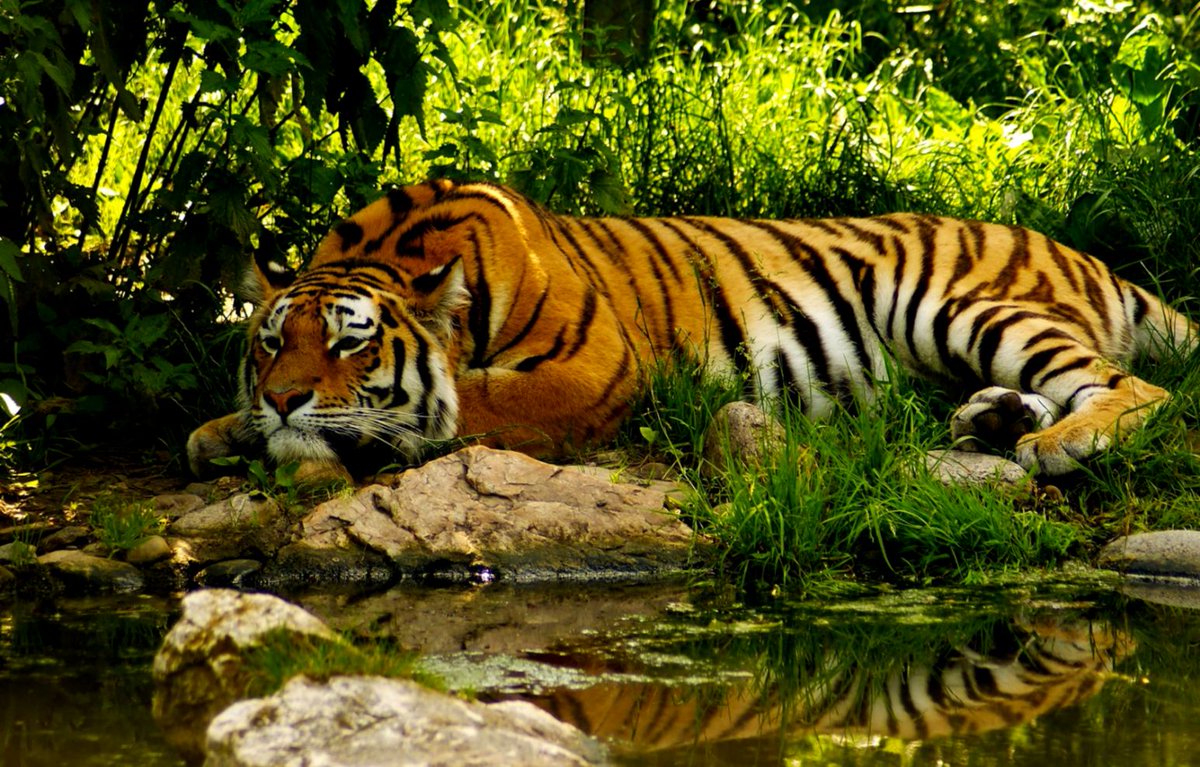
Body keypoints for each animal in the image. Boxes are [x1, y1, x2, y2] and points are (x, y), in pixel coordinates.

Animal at [187, 179, 1195, 480]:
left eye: (351, 342)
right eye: (271, 341)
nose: (284, 400)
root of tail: (1081, 252)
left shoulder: (591, 368)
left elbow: (465, 404)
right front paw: (223, 429)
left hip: (960, 303)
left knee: (1137, 387)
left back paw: (1058, 443)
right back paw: (995, 420)